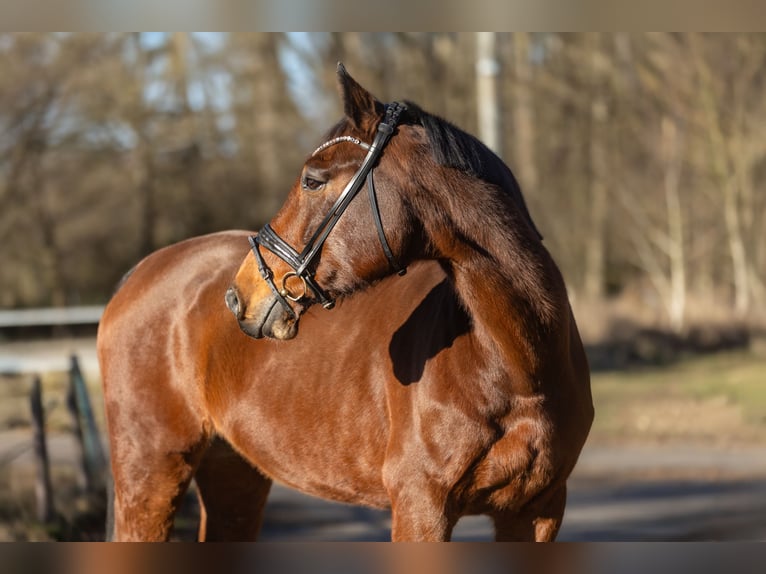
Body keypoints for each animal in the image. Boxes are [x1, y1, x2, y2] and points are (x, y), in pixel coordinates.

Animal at [98, 65, 592, 542]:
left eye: (312, 180)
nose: (240, 296)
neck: (516, 366)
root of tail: (139, 274)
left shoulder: (537, 511)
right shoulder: (421, 507)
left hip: (234, 475)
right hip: (151, 472)